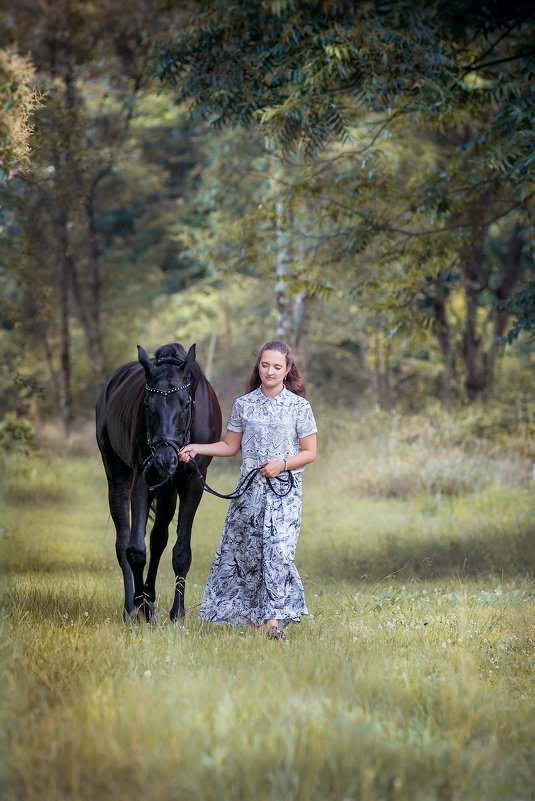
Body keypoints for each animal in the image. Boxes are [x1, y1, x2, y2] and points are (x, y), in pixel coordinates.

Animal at [96, 340, 222, 620]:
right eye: (147, 405)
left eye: (185, 404)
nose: (165, 460)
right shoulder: (143, 478)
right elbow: (135, 549)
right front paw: (142, 605)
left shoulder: (192, 482)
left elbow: (180, 551)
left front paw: (178, 613)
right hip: (119, 480)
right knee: (124, 541)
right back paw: (133, 608)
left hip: (167, 491)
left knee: (158, 538)